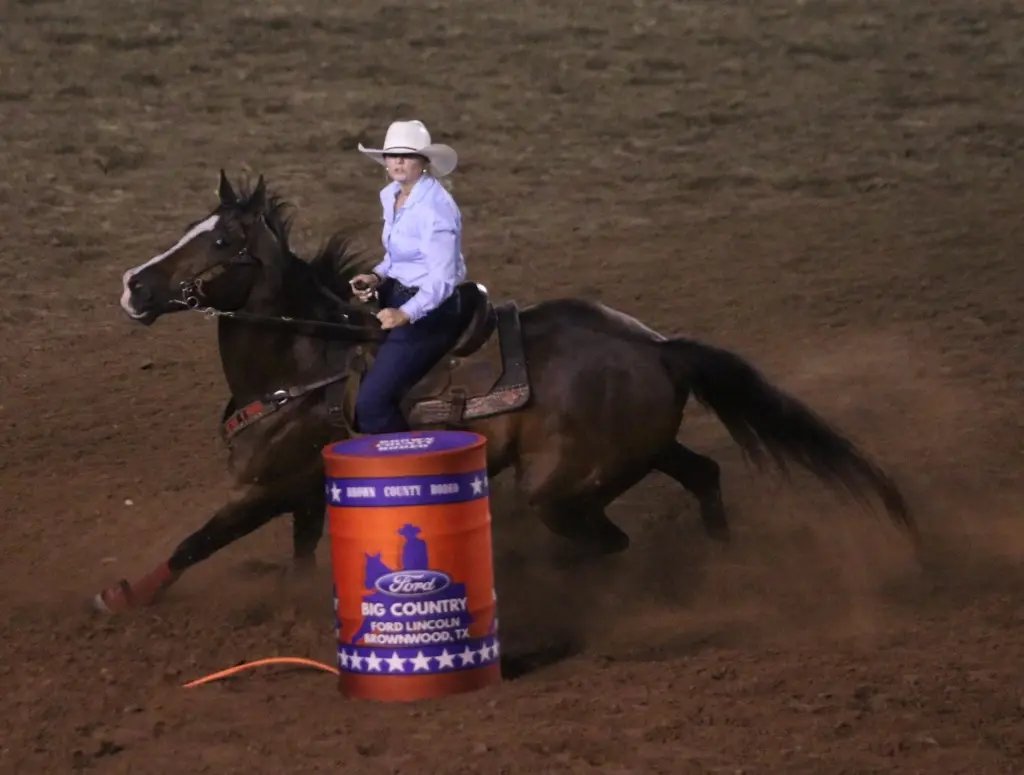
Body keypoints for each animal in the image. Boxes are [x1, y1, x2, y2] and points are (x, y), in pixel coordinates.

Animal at [95, 169, 916, 614]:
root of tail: (657, 346)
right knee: (705, 474)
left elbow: (195, 541)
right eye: (190, 226)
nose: (134, 285)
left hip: (560, 488)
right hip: (637, 453)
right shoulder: (300, 492)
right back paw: (723, 559)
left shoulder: (264, 488)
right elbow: (299, 553)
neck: (303, 361)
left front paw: (125, 595)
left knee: (613, 542)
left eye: (222, 241)